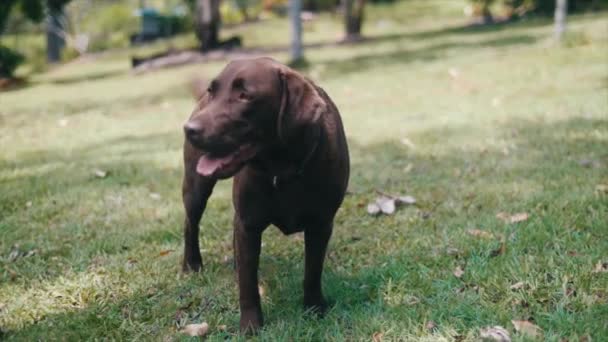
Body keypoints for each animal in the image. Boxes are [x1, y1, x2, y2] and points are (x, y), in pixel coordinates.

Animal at [180, 57, 350, 332]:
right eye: (212, 91)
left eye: (245, 95)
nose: (189, 129)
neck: (282, 168)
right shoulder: (249, 224)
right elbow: (248, 282)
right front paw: (250, 325)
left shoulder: (321, 224)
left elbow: (313, 271)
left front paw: (314, 308)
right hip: (196, 188)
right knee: (190, 223)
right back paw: (191, 264)